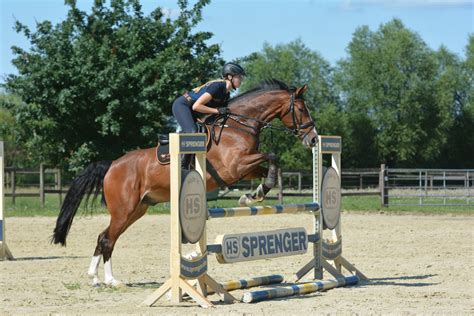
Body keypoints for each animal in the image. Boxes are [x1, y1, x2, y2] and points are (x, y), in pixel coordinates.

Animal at [51, 79, 318, 286]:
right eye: (301, 109)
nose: (314, 139)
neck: (237, 125)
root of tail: (112, 165)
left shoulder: (245, 169)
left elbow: (270, 165)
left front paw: (254, 194)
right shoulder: (235, 167)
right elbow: (273, 156)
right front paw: (257, 193)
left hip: (137, 210)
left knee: (105, 237)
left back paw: (95, 278)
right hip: (124, 210)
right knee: (107, 238)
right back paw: (110, 280)